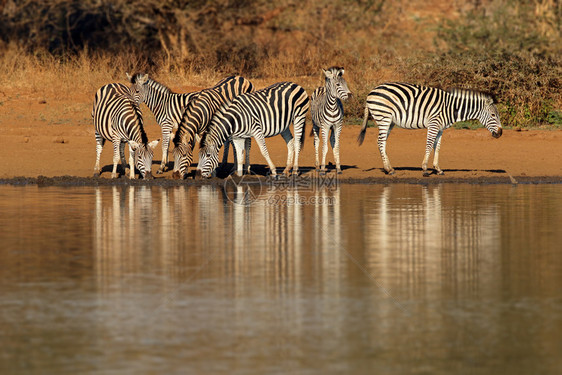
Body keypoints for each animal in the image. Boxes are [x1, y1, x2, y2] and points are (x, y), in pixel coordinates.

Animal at [356, 82, 500, 176]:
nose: (500, 133)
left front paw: (437, 169)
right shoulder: (434, 124)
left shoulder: (441, 128)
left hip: (389, 121)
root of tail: (371, 92)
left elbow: (437, 147)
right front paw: (425, 169)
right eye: (493, 115)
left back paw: (389, 168)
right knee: (380, 142)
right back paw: (388, 169)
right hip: (383, 117)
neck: (451, 108)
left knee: (382, 142)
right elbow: (429, 145)